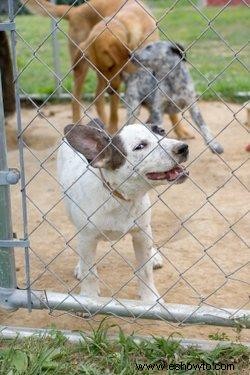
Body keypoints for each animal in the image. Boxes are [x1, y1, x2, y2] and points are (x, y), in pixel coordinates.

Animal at [57, 119, 189, 302]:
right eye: (140, 146)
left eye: (161, 131)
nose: (183, 147)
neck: (119, 197)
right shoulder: (87, 237)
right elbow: (89, 273)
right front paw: (89, 297)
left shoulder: (141, 233)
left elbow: (145, 270)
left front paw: (150, 299)